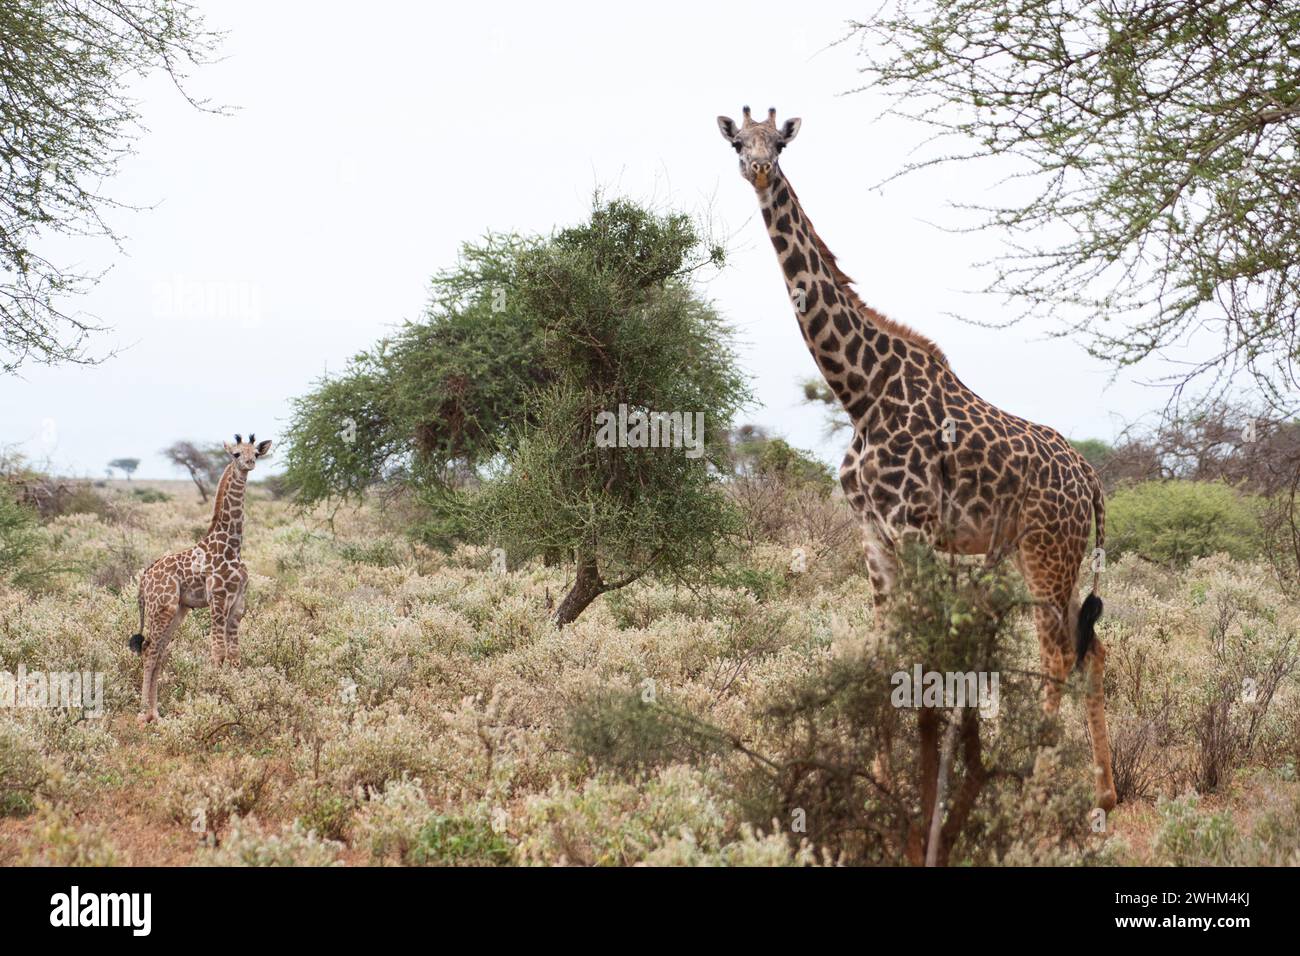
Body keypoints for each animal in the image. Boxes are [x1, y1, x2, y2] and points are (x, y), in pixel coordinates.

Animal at [130, 434, 271, 723]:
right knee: (150, 649)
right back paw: (143, 716)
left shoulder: (238, 604)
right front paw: (215, 707)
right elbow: (217, 653)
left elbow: (235, 655)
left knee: (160, 652)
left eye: (255, 453)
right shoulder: (218, 600)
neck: (232, 545)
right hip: (161, 608)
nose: (249, 464)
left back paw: (156, 714)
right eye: (236, 454)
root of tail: (145, 577)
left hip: (178, 611)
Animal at [722, 108, 1118, 811]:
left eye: (781, 143)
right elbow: (883, 656)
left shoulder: (913, 529)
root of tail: (1091, 480)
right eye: (738, 143)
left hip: (1048, 553)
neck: (860, 392)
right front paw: (882, 781)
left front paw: (925, 782)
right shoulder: (872, 534)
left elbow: (922, 656)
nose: (760, 170)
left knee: (1056, 655)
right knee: (1089, 649)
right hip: (1049, 554)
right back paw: (1103, 793)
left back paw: (1034, 784)